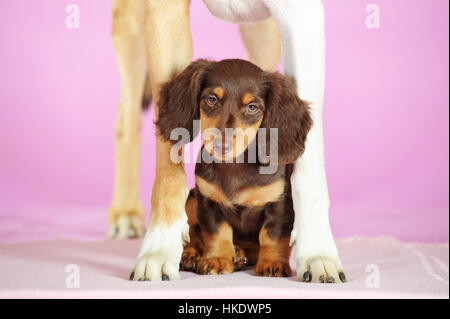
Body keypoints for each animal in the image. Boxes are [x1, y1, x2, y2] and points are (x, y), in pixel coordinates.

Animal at [156, 59, 312, 278]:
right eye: (212, 99)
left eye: (252, 107)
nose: (222, 145)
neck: (234, 165)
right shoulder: (208, 200)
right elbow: (217, 232)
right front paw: (217, 258)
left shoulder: (279, 203)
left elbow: (272, 235)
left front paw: (272, 263)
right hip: (191, 199)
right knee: (192, 235)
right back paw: (192, 255)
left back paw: (239, 255)